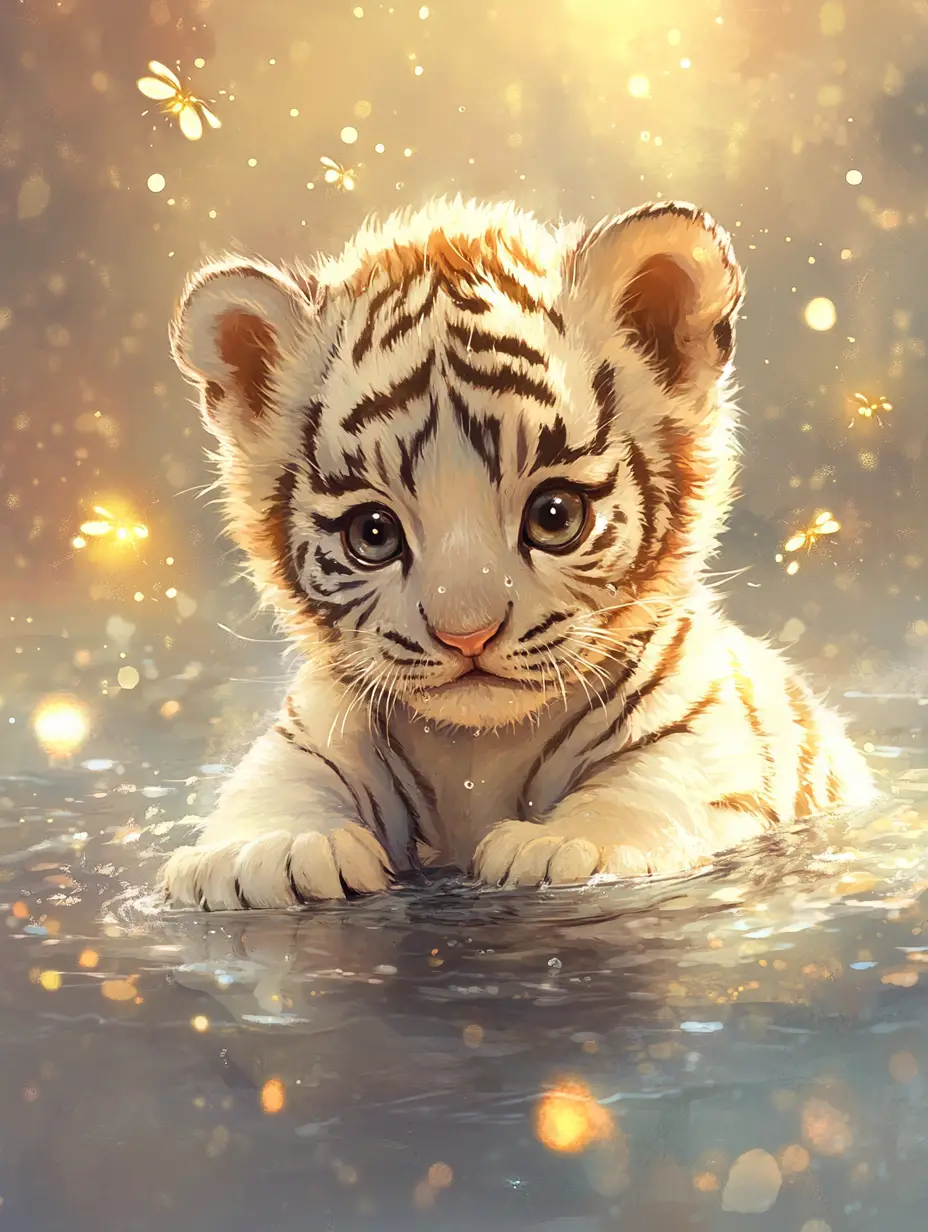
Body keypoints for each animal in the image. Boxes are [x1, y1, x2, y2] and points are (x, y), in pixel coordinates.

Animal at [160, 195, 875, 910]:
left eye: (554, 516)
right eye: (373, 535)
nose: (466, 635)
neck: (477, 754)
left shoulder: (709, 724)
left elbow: (653, 779)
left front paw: (570, 846)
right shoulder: (313, 728)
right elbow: (278, 779)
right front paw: (267, 851)